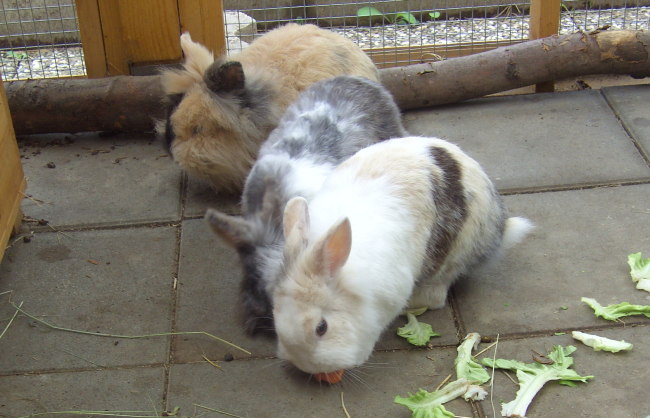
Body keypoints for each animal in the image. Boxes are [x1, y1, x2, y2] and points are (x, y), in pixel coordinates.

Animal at [274, 136, 533, 376]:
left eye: (322, 327)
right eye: (276, 318)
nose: (307, 367)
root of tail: (499, 229)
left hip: (454, 256)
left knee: (437, 294)